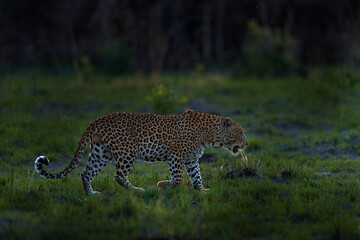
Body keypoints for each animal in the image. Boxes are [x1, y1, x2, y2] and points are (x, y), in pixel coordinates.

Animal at [34, 109, 248, 194]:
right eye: (241, 132)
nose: (246, 144)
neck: (210, 135)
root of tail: (98, 120)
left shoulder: (191, 160)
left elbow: (196, 176)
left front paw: (201, 191)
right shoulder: (176, 155)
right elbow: (178, 179)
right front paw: (162, 185)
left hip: (101, 152)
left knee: (85, 173)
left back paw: (92, 195)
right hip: (127, 151)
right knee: (118, 176)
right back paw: (137, 190)